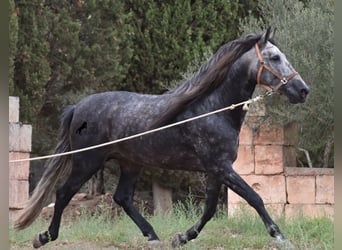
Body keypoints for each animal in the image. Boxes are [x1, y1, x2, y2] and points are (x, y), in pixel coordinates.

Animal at [15, 28, 310, 248]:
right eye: (274, 57)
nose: (302, 90)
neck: (213, 108)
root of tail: (78, 107)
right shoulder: (221, 167)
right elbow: (254, 197)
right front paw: (280, 236)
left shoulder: (216, 169)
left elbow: (210, 209)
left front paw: (181, 237)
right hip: (87, 161)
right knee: (64, 193)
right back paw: (44, 236)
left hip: (130, 163)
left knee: (122, 197)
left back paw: (153, 237)